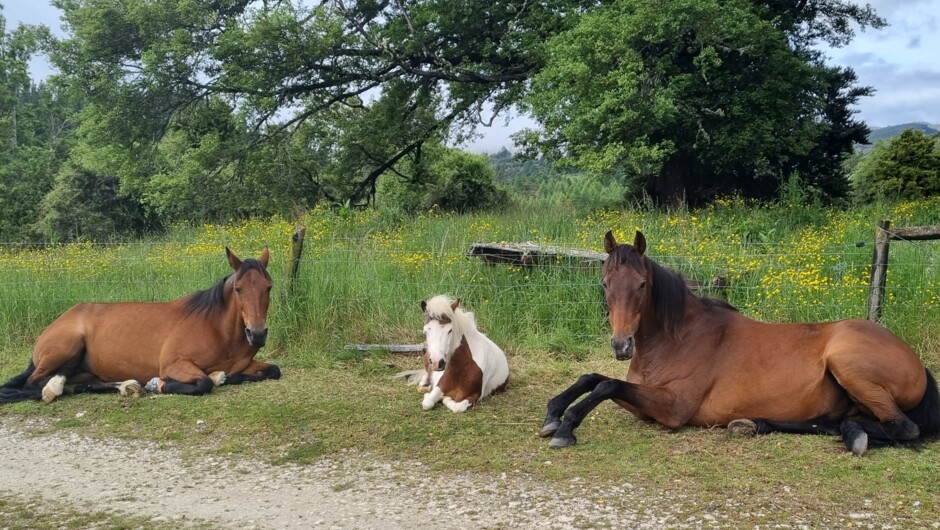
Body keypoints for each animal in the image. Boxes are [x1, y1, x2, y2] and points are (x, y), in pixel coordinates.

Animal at [0, 247, 281, 404]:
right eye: (238, 289)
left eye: (268, 287)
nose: (257, 334)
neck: (218, 329)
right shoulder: (173, 364)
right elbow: (203, 383)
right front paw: (158, 385)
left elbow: (273, 370)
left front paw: (224, 376)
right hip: (65, 348)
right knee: (33, 384)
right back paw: (52, 389)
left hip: (84, 370)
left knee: (81, 384)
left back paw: (127, 386)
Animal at [539, 230, 940, 456]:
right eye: (605, 283)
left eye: (641, 284)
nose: (621, 346)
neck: (677, 338)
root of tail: (918, 363)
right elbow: (593, 379)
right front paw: (553, 414)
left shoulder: (673, 408)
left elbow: (606, 384)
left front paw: (565, 427)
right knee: (833, 422)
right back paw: (754, 423)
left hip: (849, 365)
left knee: (902, 428)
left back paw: (854, 437)